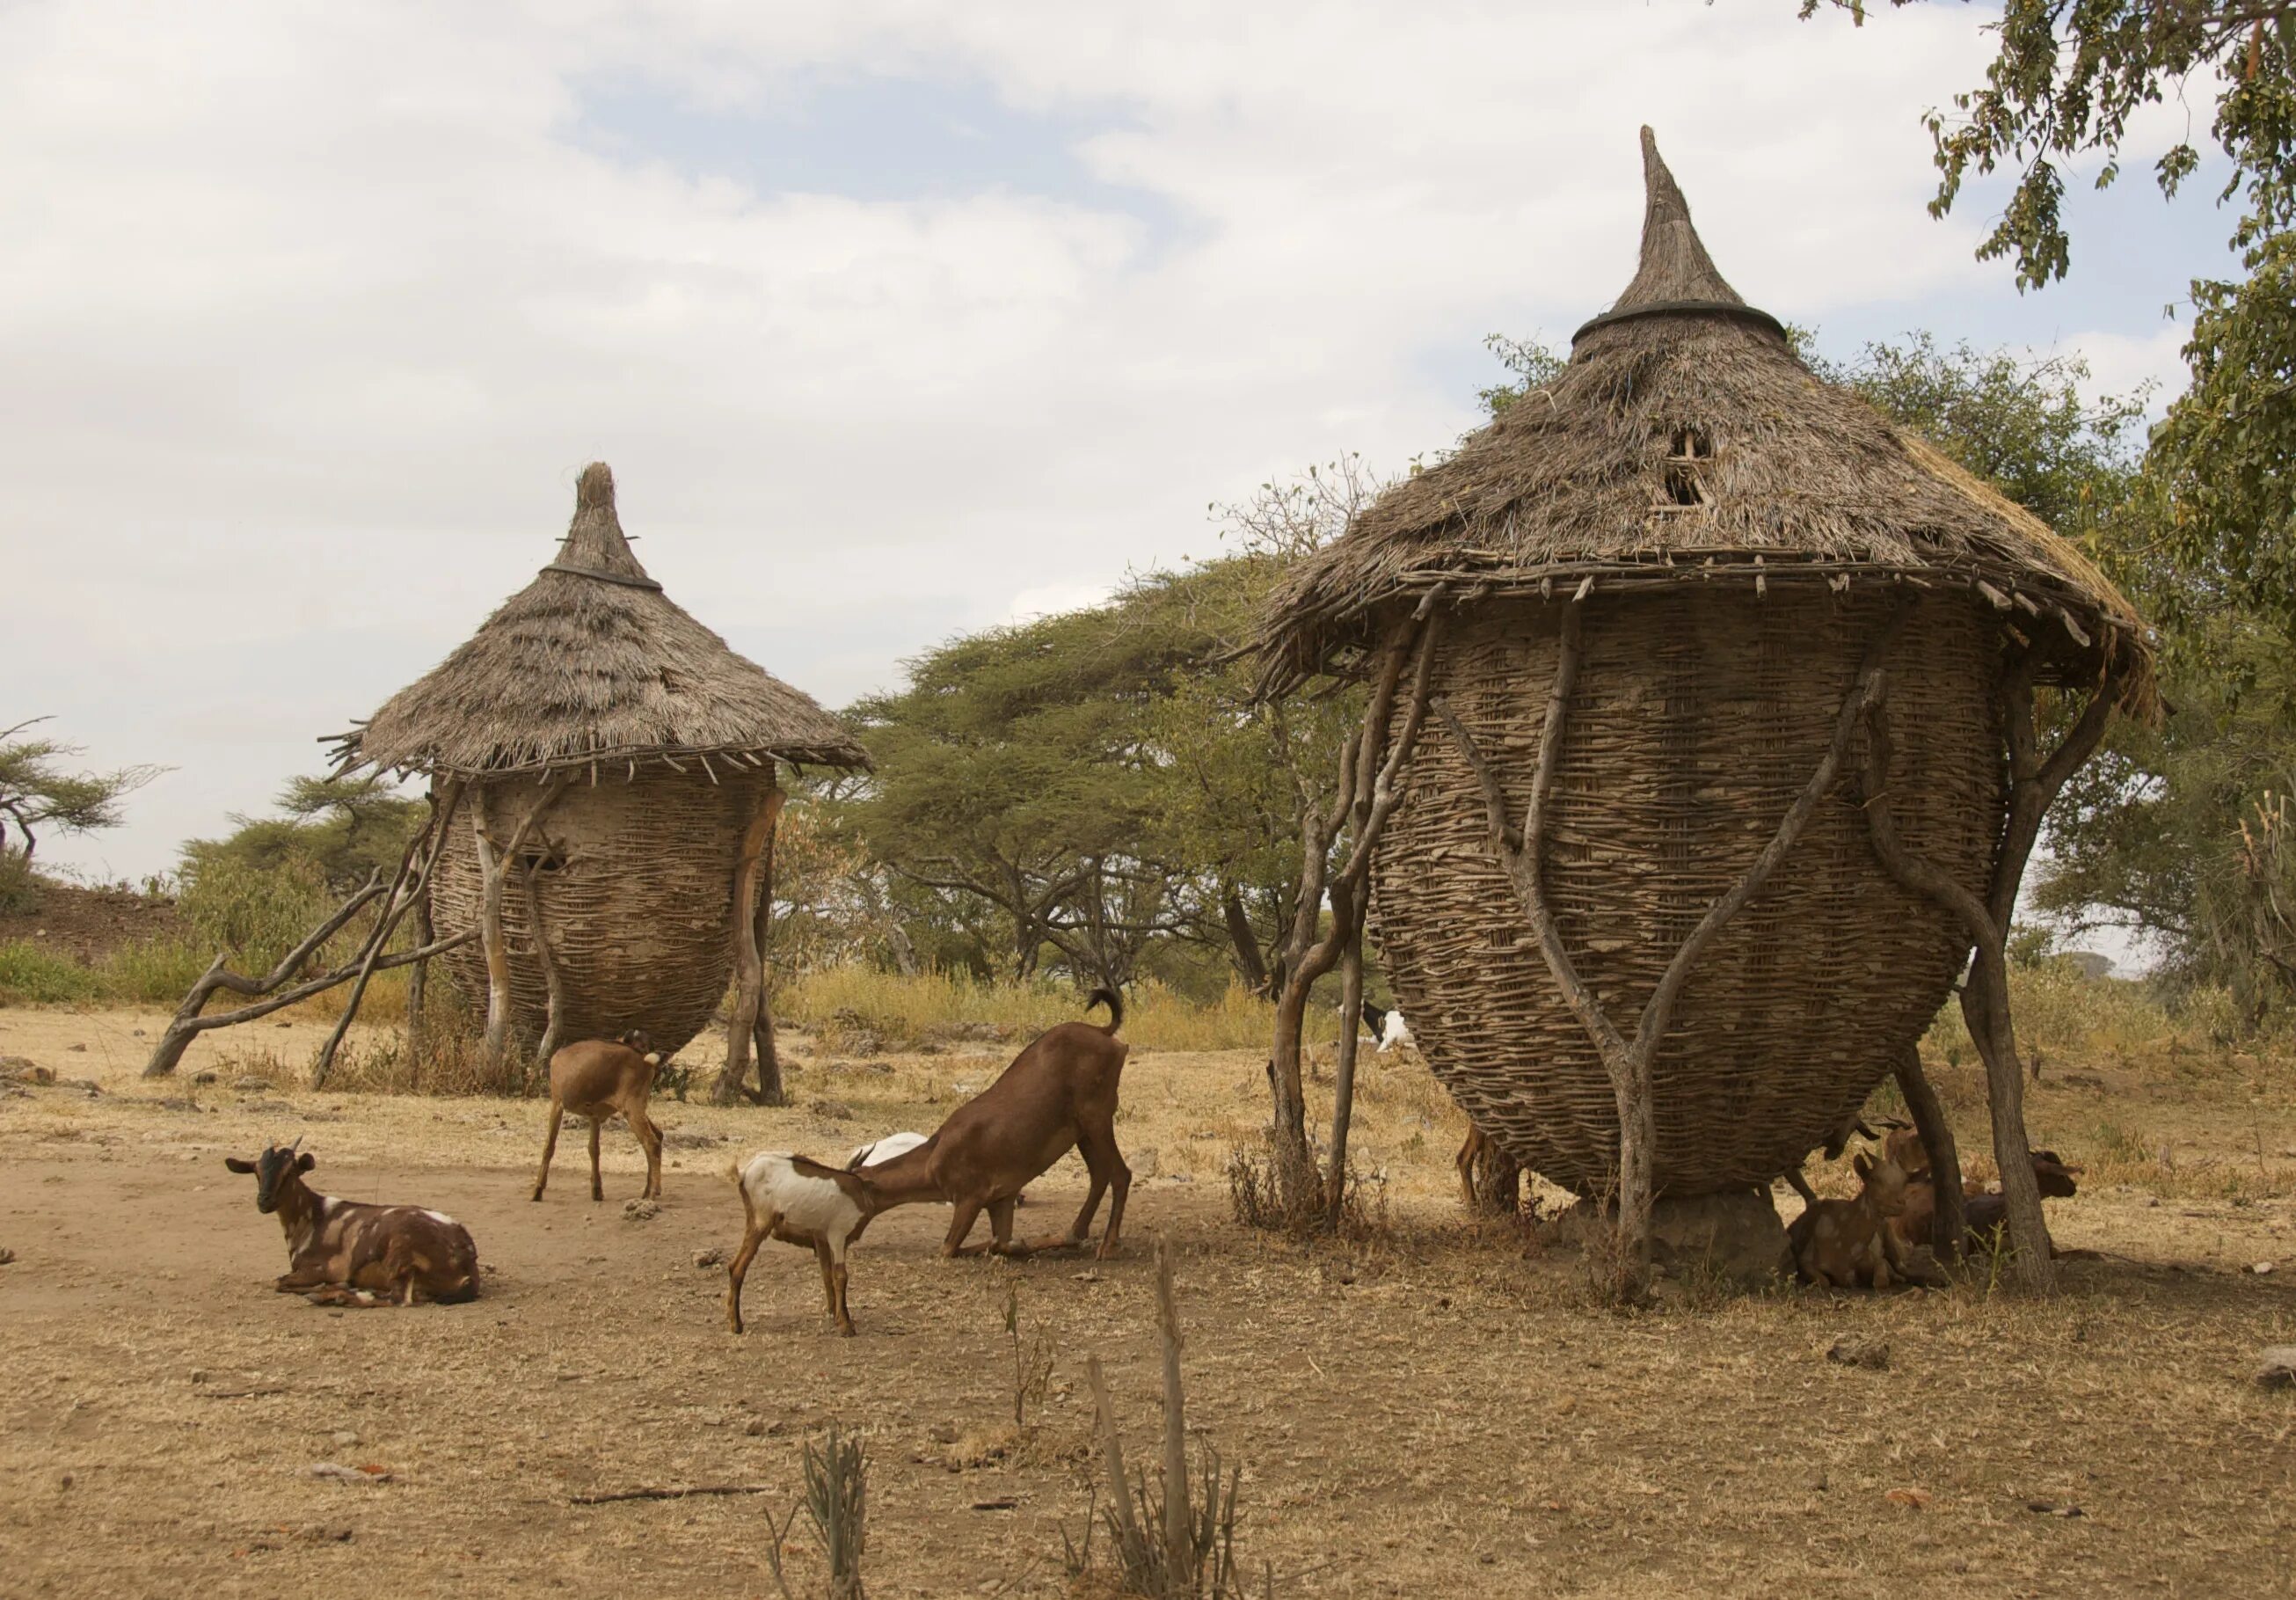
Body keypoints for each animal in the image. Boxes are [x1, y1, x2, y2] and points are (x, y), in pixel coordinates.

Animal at [223, 1143, 479, 1304]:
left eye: (290, 1172)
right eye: (256, 1172)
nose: (264, 1200)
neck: (314, 1217)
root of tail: (466, 1259)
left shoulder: (324, 1268)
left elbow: (279, 1282)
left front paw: (326, 1288)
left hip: (401, 1255)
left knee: (398, 1299)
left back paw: (332, 1297)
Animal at [539, 1028, 670, 1202]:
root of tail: (645, 1061)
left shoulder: (557, 1104)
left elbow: (549, 1146)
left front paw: (538, 1190)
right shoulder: (595, 1116)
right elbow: (593, 1149)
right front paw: (597, 1191)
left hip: (632, 1108)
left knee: (651, 1143)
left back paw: (653, 1192)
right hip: (636, 1108)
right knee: (658, 1136)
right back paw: (647, 1191)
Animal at [720, 1147, 872, 1331]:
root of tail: (744, 1172)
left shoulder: (829, 1241)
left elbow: (828, 1273)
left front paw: (837, 1315)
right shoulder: (835, 1236)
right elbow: (839, 1275)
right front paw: (845, 1324)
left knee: (734, 1265)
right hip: (760, 1223)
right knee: (737, 1267)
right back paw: (736, 1325)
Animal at [844, 987, 1129, 1258]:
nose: (847, 1239)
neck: (934, 1156)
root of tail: (1103, 1032)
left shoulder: (969, 1201)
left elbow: (948, 1249)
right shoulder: (1001, 1201)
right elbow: (1001, 1242)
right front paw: (1031, 1242)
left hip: (1097, 1119)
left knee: (1121, 1174)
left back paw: (1107, 1246)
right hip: (1082, 1132)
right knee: (1099, 1175)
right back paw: (1077, 1231)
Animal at [1790, 1147, 1919, 1285]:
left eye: (1905, 1181)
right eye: (1873, 1178)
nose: (1900, 1204)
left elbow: (1881, 1276)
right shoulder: (1805, 1260)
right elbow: (1825, 1281)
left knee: (1901, 1266)